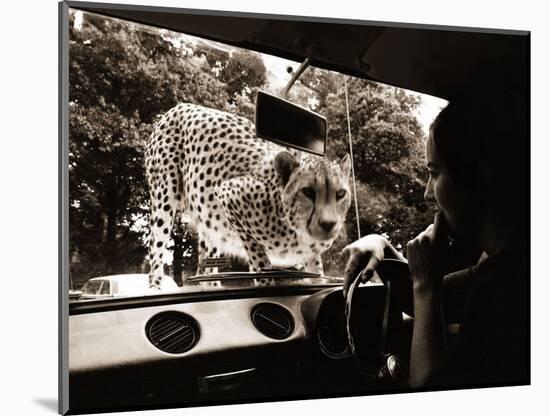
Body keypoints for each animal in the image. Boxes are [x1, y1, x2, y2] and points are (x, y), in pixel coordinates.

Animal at [146, 102, 354, 288]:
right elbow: (259, 258)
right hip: (164, 200)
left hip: (210, 221)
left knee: (206, 267)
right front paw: (266, 284)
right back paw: (156, 288)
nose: (328, 224)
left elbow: (317, 271)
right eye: (308, 192)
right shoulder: (229, 193)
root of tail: (180, 106)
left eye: (340, 193)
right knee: (156, 255)